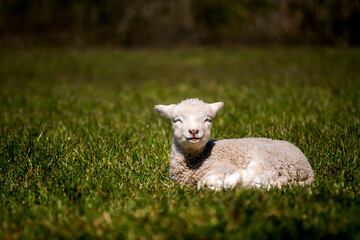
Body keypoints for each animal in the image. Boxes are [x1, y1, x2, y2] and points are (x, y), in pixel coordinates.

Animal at [155, 98, 316, 190]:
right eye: (177, 120)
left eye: (208, 119)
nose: (194, 131)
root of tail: (309, 171)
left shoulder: (223, 166)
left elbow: (206, 181)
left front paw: (216, 183)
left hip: (269, 158)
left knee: (259, 176)